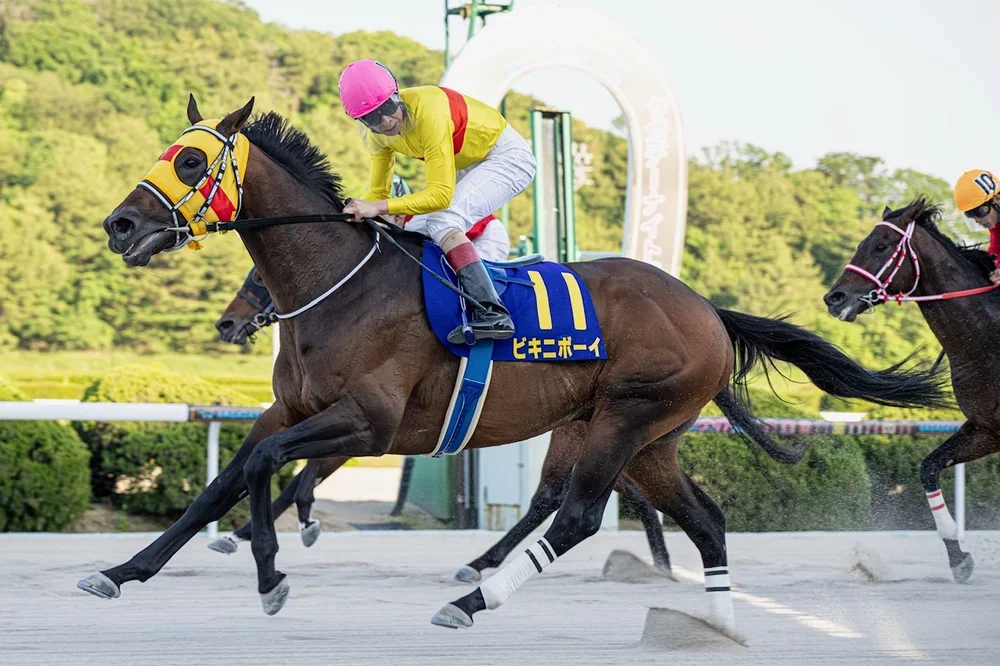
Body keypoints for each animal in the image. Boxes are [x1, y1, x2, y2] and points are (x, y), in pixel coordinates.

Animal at [212, 267, 675, 575]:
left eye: (259, 281)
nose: (226, 322)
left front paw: (266, 527)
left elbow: (300, 480)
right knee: (611, 488)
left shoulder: (365, 424)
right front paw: (246, 531)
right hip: (585, 428)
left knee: (562, 493)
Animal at [824, 197, 997, 583]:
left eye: (881, 246)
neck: (986, 339)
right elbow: (929, 468)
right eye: (862, 243)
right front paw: (957, 557)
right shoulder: (986, 428)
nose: (834, 298)